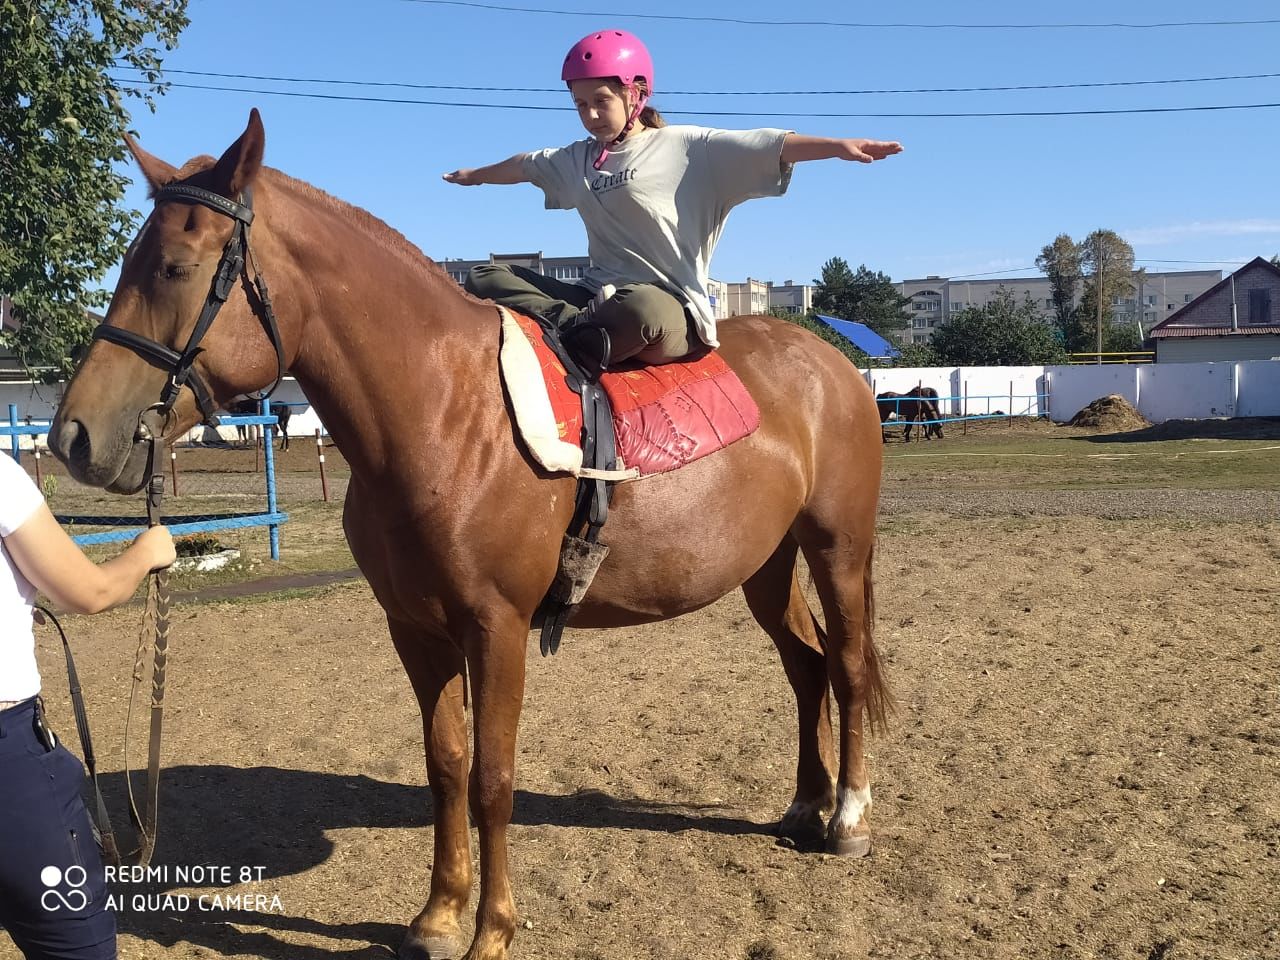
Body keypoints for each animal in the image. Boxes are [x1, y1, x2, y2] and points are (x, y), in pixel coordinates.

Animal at [47, 114, 890, 960]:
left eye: (176, 268)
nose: (73, 437)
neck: (446, 413)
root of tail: (831, 364)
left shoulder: (498, 628)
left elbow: (492, 778)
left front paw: (492, 929)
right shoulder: (416, 629)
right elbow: (447, 765)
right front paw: (439, 915)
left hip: (837, 549)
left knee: (847, 664)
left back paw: (849, 816)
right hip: (766, 566)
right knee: (806, 665)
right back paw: (805, 806)